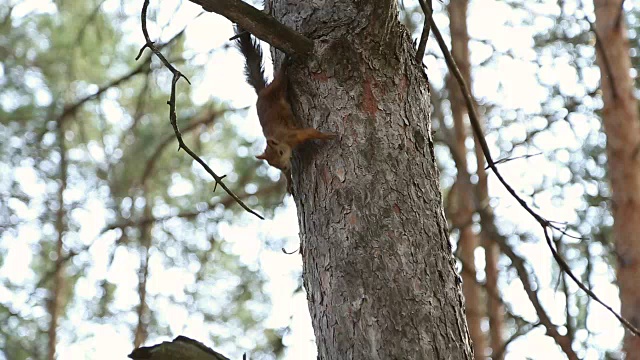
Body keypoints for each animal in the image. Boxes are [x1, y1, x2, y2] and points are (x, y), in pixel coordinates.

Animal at [234, 25, 336, 191]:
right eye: (272, 164)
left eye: (281, 152)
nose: (285, 167)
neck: (283, 142)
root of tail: (262, 92)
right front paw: (288, 182)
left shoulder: (292, 135)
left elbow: (311, 132)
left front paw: (326, 135)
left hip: (277, 87)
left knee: (281, 77)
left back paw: (285, 63)